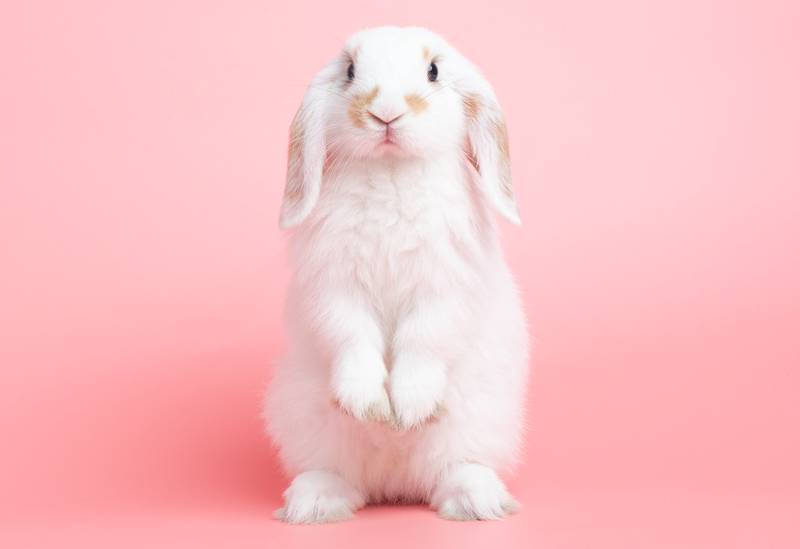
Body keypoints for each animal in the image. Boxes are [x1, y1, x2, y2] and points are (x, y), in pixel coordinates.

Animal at [265, 26, 529, 523]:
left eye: (433, 71)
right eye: (351, 71)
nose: (385, 113)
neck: (391, 170)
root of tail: (394, 483)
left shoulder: (442, 290)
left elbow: (423, 340)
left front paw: (407, 411)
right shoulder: (334, 289)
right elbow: (351, 336)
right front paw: (369, 405)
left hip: (480, 417)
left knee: (454, 468)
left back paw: (477, 500)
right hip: (302, 417)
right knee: (338, 474)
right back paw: (315, 503)